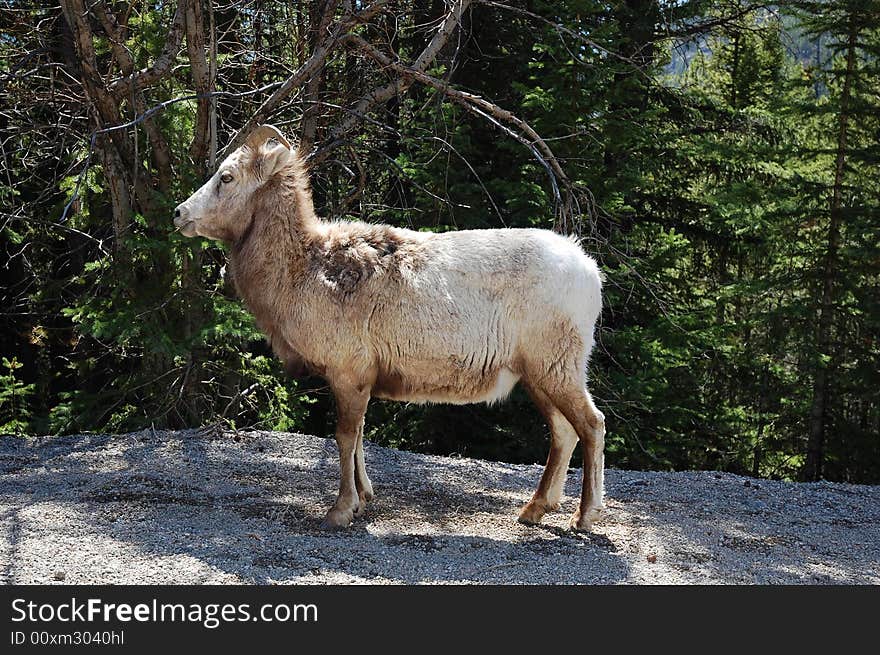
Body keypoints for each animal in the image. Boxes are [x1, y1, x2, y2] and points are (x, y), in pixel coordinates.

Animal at [175, 125, 608, 532]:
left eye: (227, 177)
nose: (180, 214)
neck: (305, 267)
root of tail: (588, 269)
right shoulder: (361, 378)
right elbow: (359, 437)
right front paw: (364, 499)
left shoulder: (347, 373)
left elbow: (345, 436)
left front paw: (340, 512)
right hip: (539, 375)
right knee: (563, 432)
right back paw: (534, 510)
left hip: (556, 367)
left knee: (591, 424)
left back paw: (583, 518)